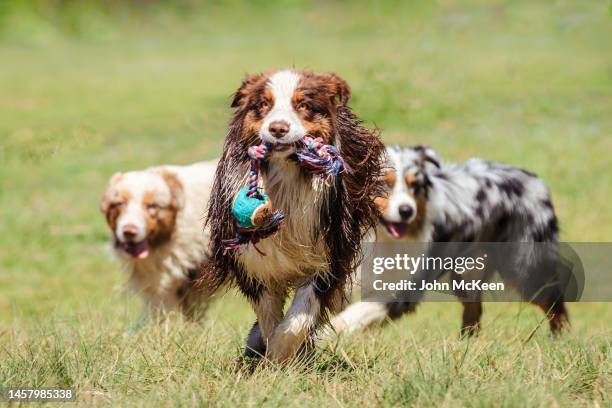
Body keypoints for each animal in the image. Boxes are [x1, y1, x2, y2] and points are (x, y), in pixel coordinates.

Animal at [208, 70, 384, 364]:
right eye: (263, 104)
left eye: (303, 105)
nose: (278, 128)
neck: (286, 178)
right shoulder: (253, 259)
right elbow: (268, 313)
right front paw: (271, 353)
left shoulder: (329, 252)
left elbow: (301, 313)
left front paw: (282, 354)